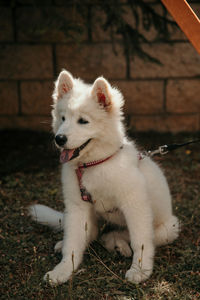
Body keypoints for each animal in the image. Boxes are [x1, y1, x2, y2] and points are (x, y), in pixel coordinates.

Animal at [28, 69, 180, 284]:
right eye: (63, 118)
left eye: (83, 121)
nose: (59, 139)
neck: (94, 164)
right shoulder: (77, 206)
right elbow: (73, 243)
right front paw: (63, 271)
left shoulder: (135, 205)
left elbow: (140, 241)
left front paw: (140, 270)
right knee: (91, 234)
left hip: (169, 228)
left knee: (119, 235)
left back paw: (118, 244)